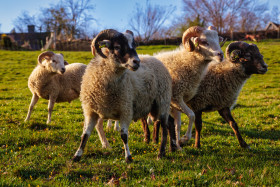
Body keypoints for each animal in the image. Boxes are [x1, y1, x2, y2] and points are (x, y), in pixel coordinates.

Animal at [71, 28, 173, 163]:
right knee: (169, 122)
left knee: (165, 128)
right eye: (117, 46)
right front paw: (77, 156)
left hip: (163, 102)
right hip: (155, 106)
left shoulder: (126, 109)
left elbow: (124, 136)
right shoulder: (90, 111)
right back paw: (172, 148)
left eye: (134, 46)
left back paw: (161, 154)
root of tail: (156, 59)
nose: (137, 62)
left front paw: (128, 157)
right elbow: (85, 135)